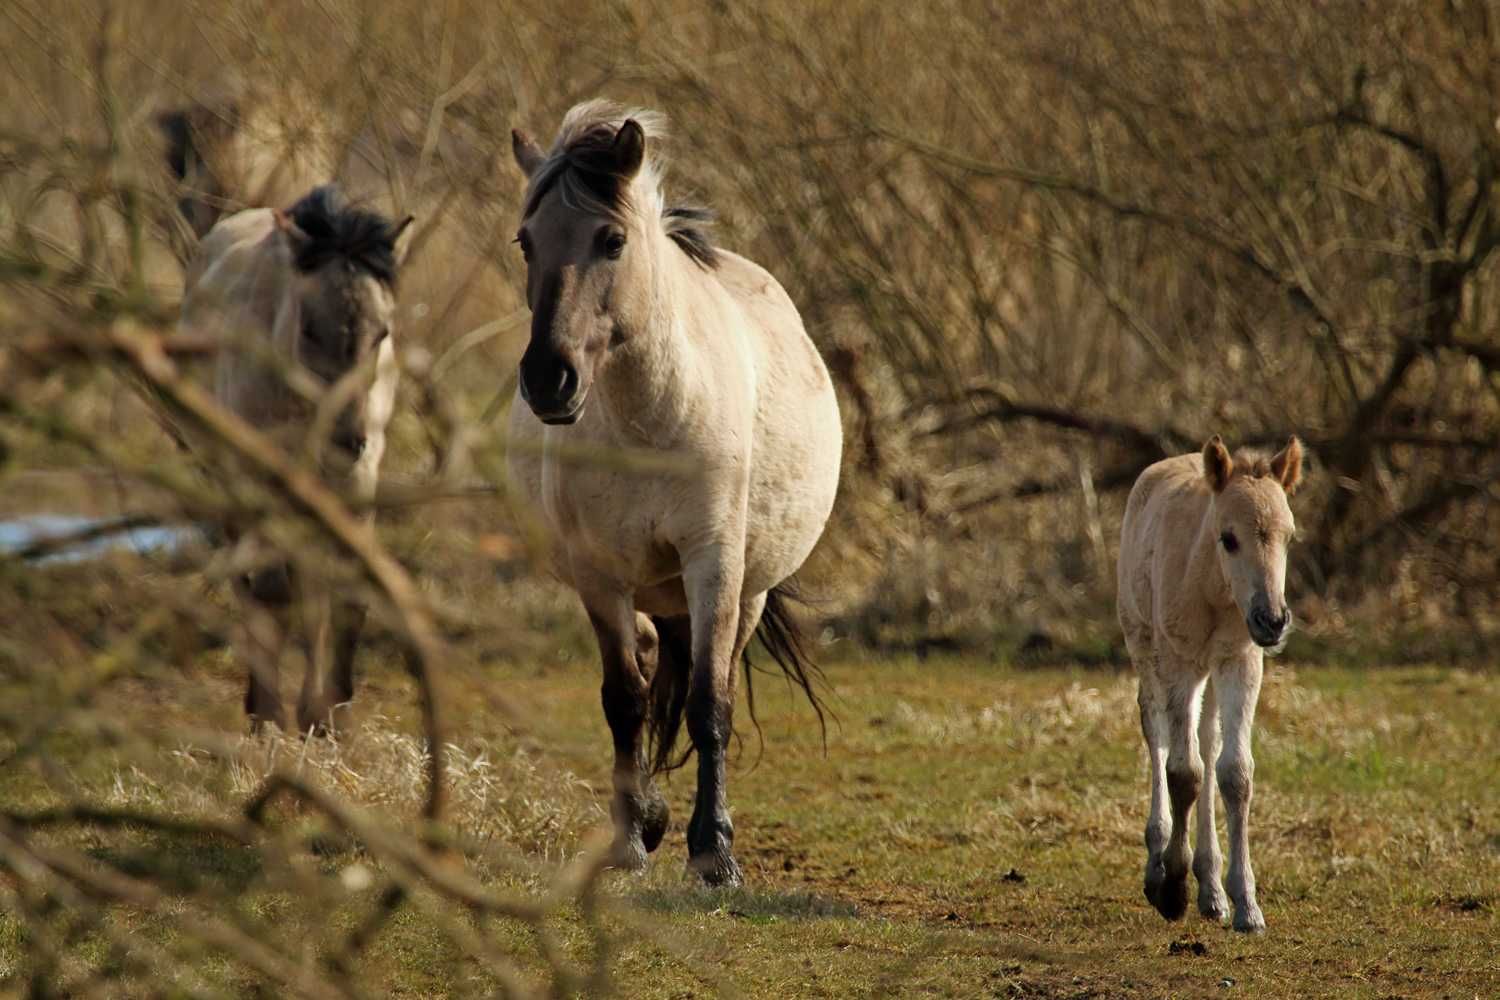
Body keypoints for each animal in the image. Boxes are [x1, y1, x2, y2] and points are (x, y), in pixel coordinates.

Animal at [176, 183, 411, 731]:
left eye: (382, 333)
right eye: (309, 329)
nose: (346, 441)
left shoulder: (356, 481)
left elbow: (343, 592)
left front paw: (330, 716)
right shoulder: (254, 473)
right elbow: (272, 594)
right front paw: (270, 717)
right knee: (250, 584)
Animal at [510, 101, 846, 881]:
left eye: (611, 240)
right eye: (525, 241)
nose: (548, 380)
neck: (652, 416)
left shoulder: (713, 564)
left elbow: (708, 704)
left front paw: (713, 853)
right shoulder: (600, 574)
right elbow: (625, 700)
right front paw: (632, 840)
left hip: (744, 593)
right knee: (645, 660)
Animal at [1116, 434, 1302, 935]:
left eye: (1289, 536)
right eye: (1229, 538)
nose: (1272, 620)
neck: (1214, 590)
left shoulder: (1240, 661)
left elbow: (1234, 773)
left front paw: (1245, 904)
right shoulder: (1177, 660)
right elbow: (1184, 773)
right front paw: (1172, 888)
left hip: (1211, 671)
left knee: (1207, 737)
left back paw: (1212, 890)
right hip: (1146, 645)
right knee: (1158, 734)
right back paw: (1159, 865)